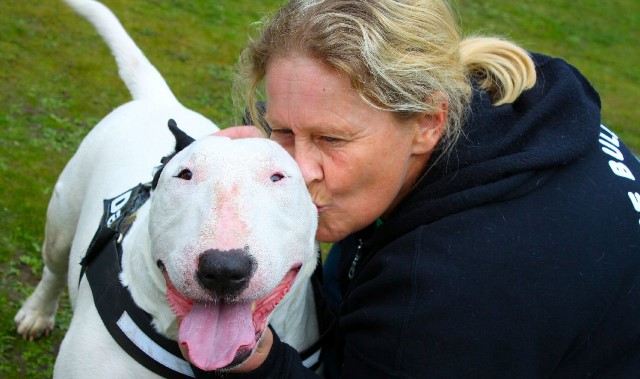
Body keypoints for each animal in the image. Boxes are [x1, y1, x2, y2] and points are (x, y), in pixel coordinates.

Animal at [16, 0, 320, 378]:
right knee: (54, 267)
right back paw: (37, 312)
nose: (223, 269)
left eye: (278, 177)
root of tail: (159, 99)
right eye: (184, 174)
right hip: (62, 215)